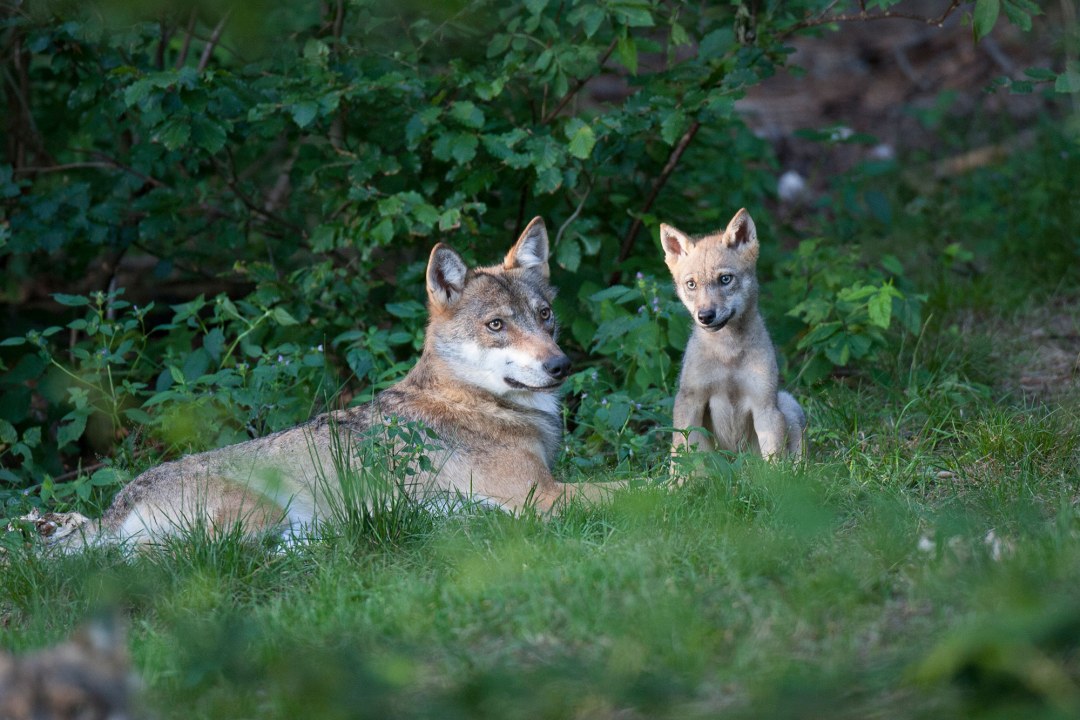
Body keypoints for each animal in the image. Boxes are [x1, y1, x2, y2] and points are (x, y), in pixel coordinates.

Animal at [76, 218, 611, 546]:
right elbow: (627, 489)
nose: (560, 365)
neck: (475, 402)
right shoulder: (543, 497)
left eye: (544, 316)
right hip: (259, 518)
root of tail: (115, 508)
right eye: (497, 325)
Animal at [660, 208, 805, 464]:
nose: (705, 316)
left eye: (725, 279)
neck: (728, 354)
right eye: (691, 284)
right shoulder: (690, 401)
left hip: (787, 404)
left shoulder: (764, 405)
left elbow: (774, 463)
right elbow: (681, 457)